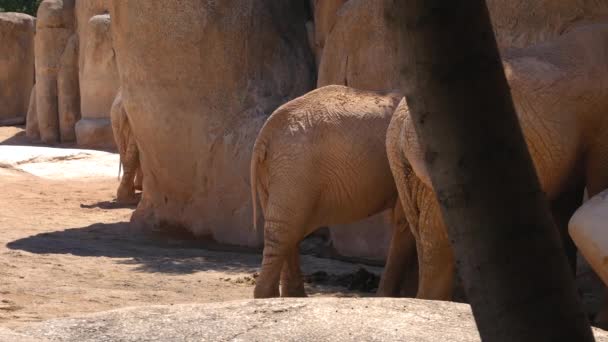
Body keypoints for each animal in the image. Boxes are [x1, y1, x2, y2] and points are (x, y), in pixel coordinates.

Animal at [249, 84, 416, 298]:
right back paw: (268, 297)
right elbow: (404, 222)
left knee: (289, 229)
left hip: (279, 170)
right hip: (294, 167)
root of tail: (265, 132)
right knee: (284, 230)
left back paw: (290, 297)